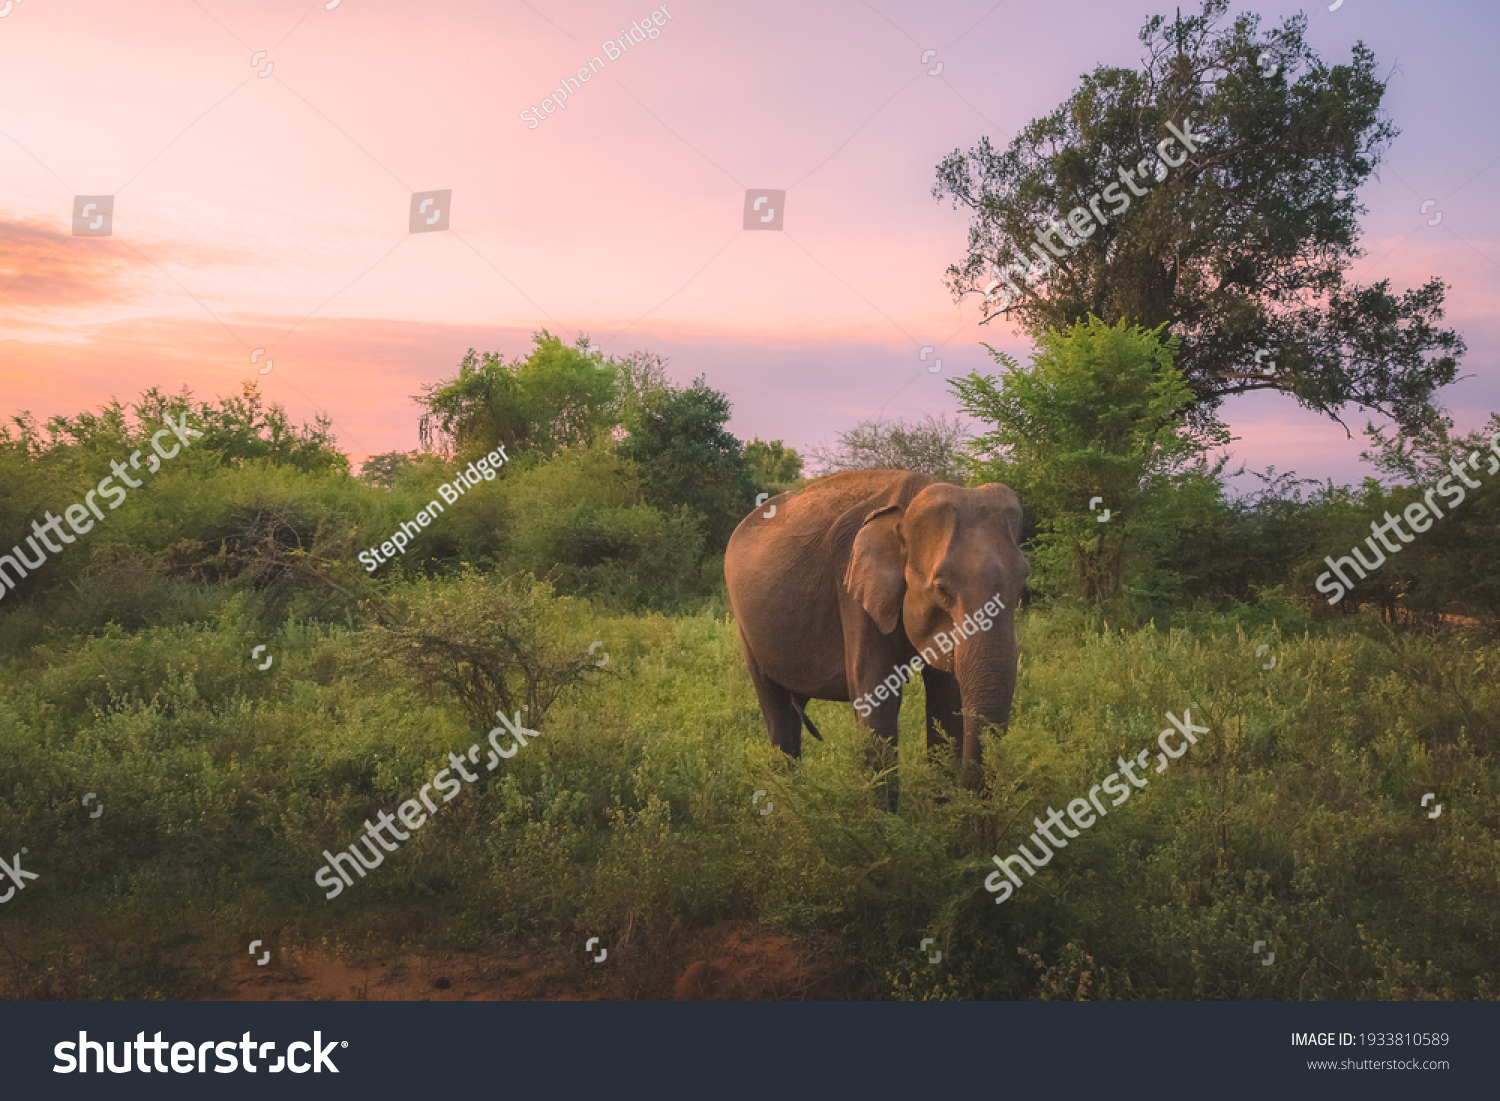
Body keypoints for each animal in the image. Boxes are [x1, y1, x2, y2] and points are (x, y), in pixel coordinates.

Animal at [723, 468, 1026, 804]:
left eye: (1021, 586)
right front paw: (882, 818)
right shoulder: (853, 589)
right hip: (746, 627)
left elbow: (946, 698)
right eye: (942, 590)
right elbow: (877, 697)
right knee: (778, 714)